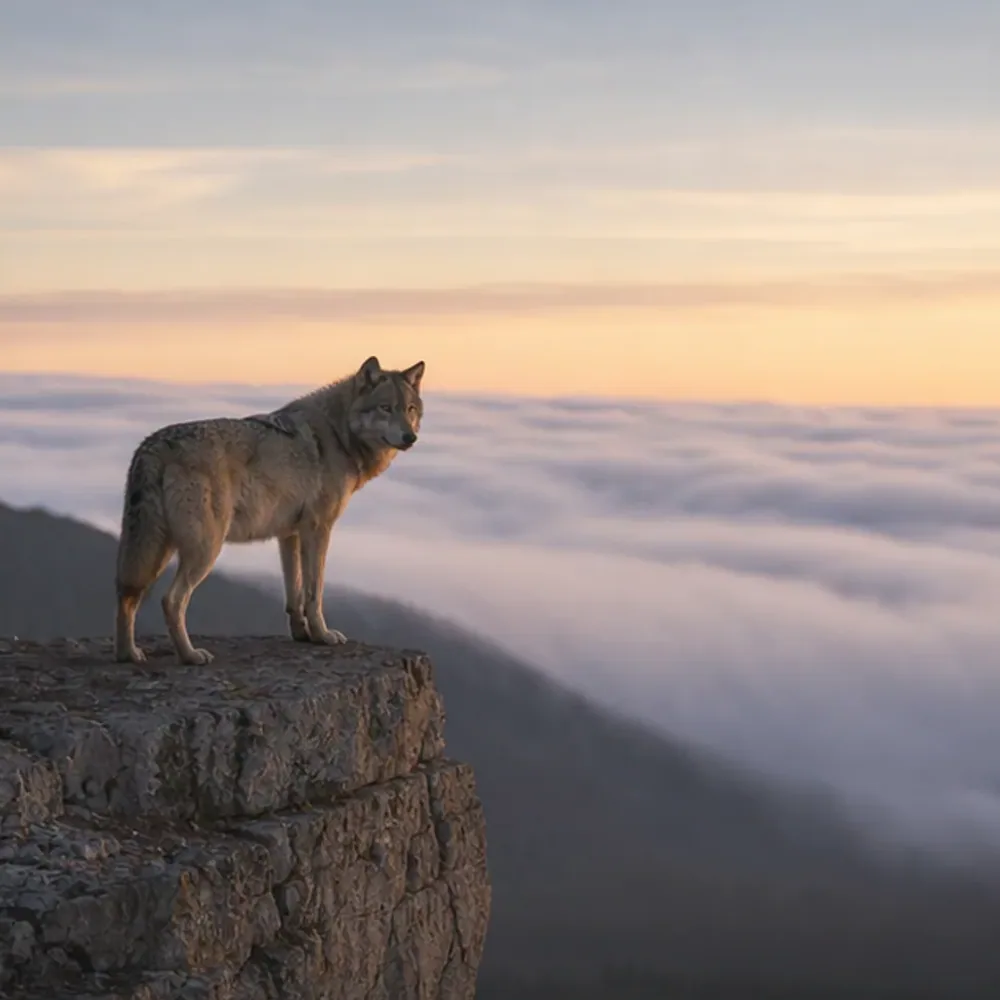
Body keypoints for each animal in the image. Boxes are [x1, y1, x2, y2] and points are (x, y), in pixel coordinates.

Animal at [114, 355, 425, 665]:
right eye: (386, 408)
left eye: (410, 409)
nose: (410, 437)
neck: (339, 434)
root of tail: (152, 445)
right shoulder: (319, 529)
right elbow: (314, 592)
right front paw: (323, 635)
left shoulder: (289, 534)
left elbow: (294, 594)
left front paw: (302, 635)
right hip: (203, 550)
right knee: (171, 600)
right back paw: (190, 655)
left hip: (157, 550)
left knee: (126, 594)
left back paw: (129, 654)